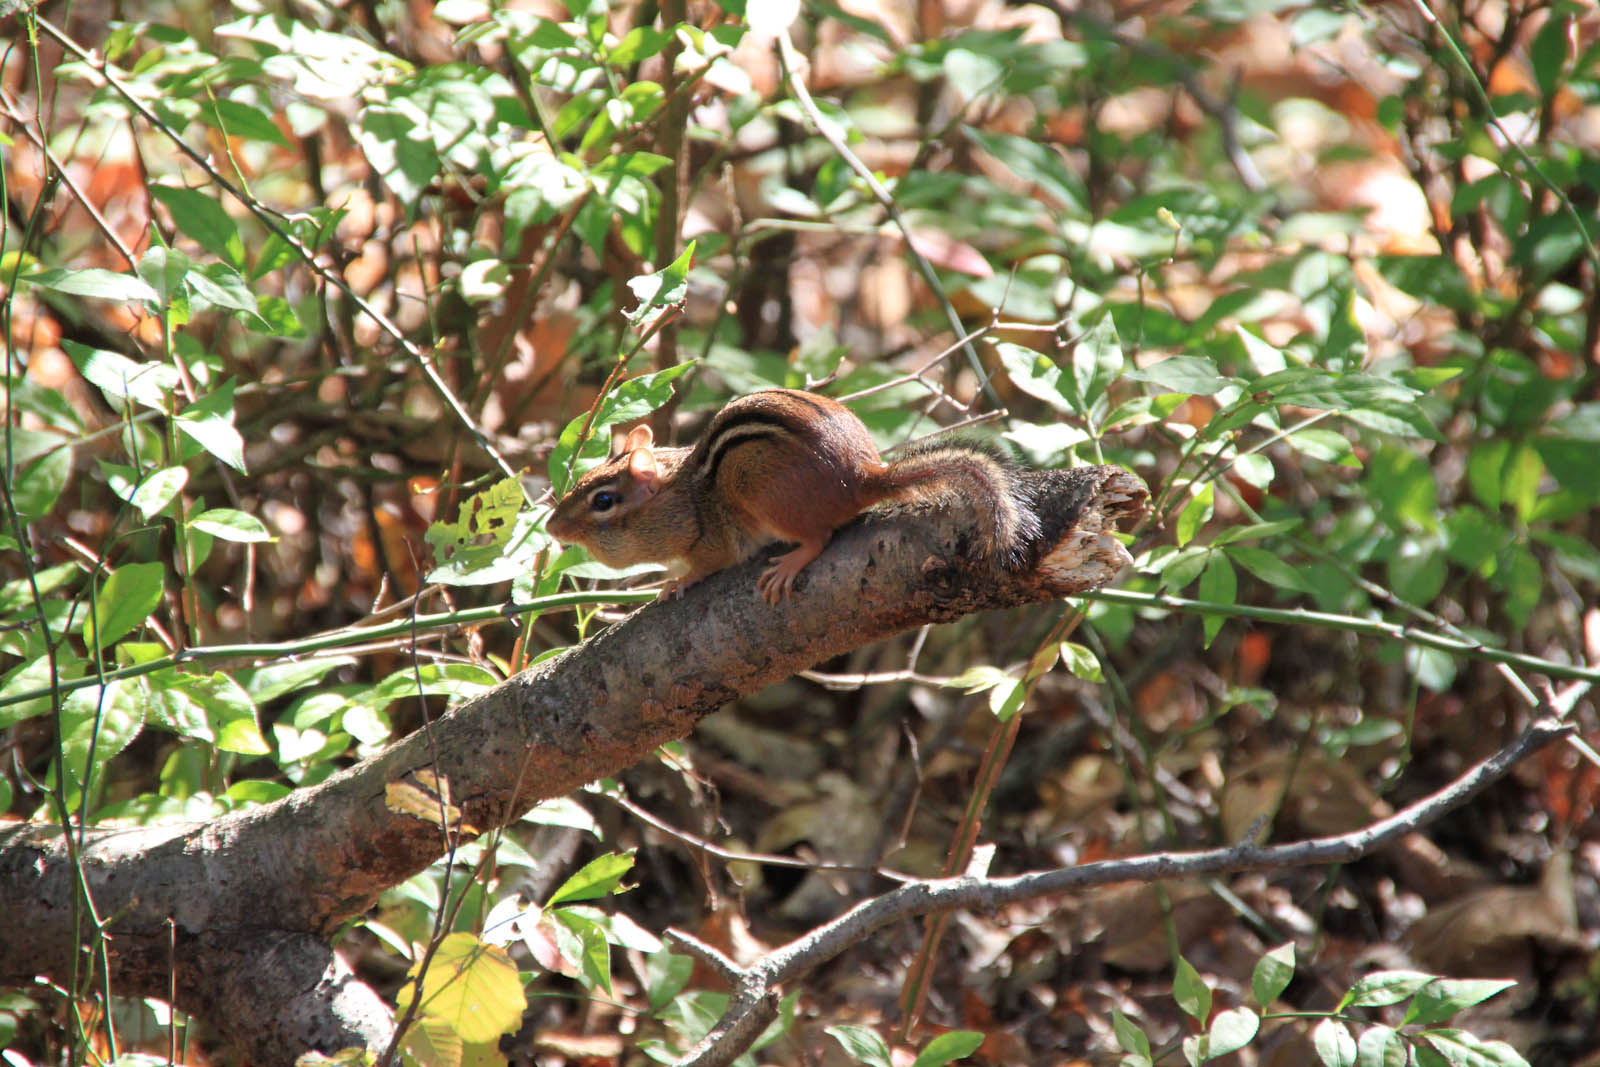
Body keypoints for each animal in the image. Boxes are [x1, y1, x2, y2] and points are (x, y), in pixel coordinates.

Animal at [546, 388, 1041, 602]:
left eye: (603, 501)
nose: (551, 526)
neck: (681, 496)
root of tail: (863, 477)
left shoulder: (710, 540)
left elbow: (709, 564)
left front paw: (675, 583)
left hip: (761, 489)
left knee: (819, 537)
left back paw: (789, 564)